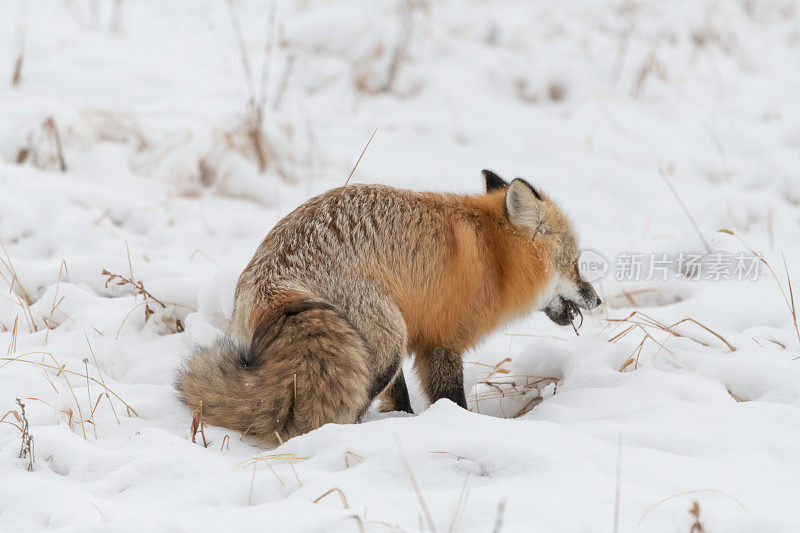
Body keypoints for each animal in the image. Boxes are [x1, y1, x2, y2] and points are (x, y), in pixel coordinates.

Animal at [177, 171, 600, 444]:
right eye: (574, 263)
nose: (596, 299)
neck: (492, 255)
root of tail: (273, 280)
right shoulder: (441, 343)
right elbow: (453, 399)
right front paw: (458, 427)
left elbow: (400, 397)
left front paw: (403, 421)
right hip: (386, 342)